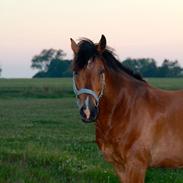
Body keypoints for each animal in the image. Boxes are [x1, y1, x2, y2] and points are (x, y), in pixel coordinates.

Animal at [70, 35, 183, 182]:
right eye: (75, 72)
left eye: (101, 71)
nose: (88, 111)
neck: (126, 109)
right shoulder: (120, 167)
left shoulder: (136, 166)